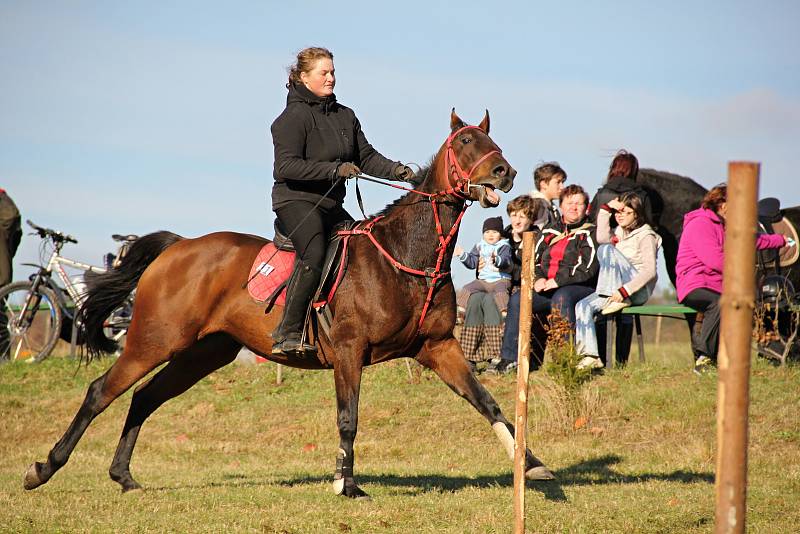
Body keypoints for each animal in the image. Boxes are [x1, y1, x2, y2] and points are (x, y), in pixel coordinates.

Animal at [20, 111, 556, 500]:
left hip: (202, 353)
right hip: (154, 340)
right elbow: (348, 417)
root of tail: (179, 246)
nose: (505, 173)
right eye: (464, 142)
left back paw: (123, 476)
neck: (405, 254)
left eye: (491, 141)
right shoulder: (349, 352)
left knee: (144, 398)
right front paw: (346, 483)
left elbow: (487, 402)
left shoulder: (438, 347)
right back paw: (44, 468)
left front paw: (532, 465)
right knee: (101, 392)